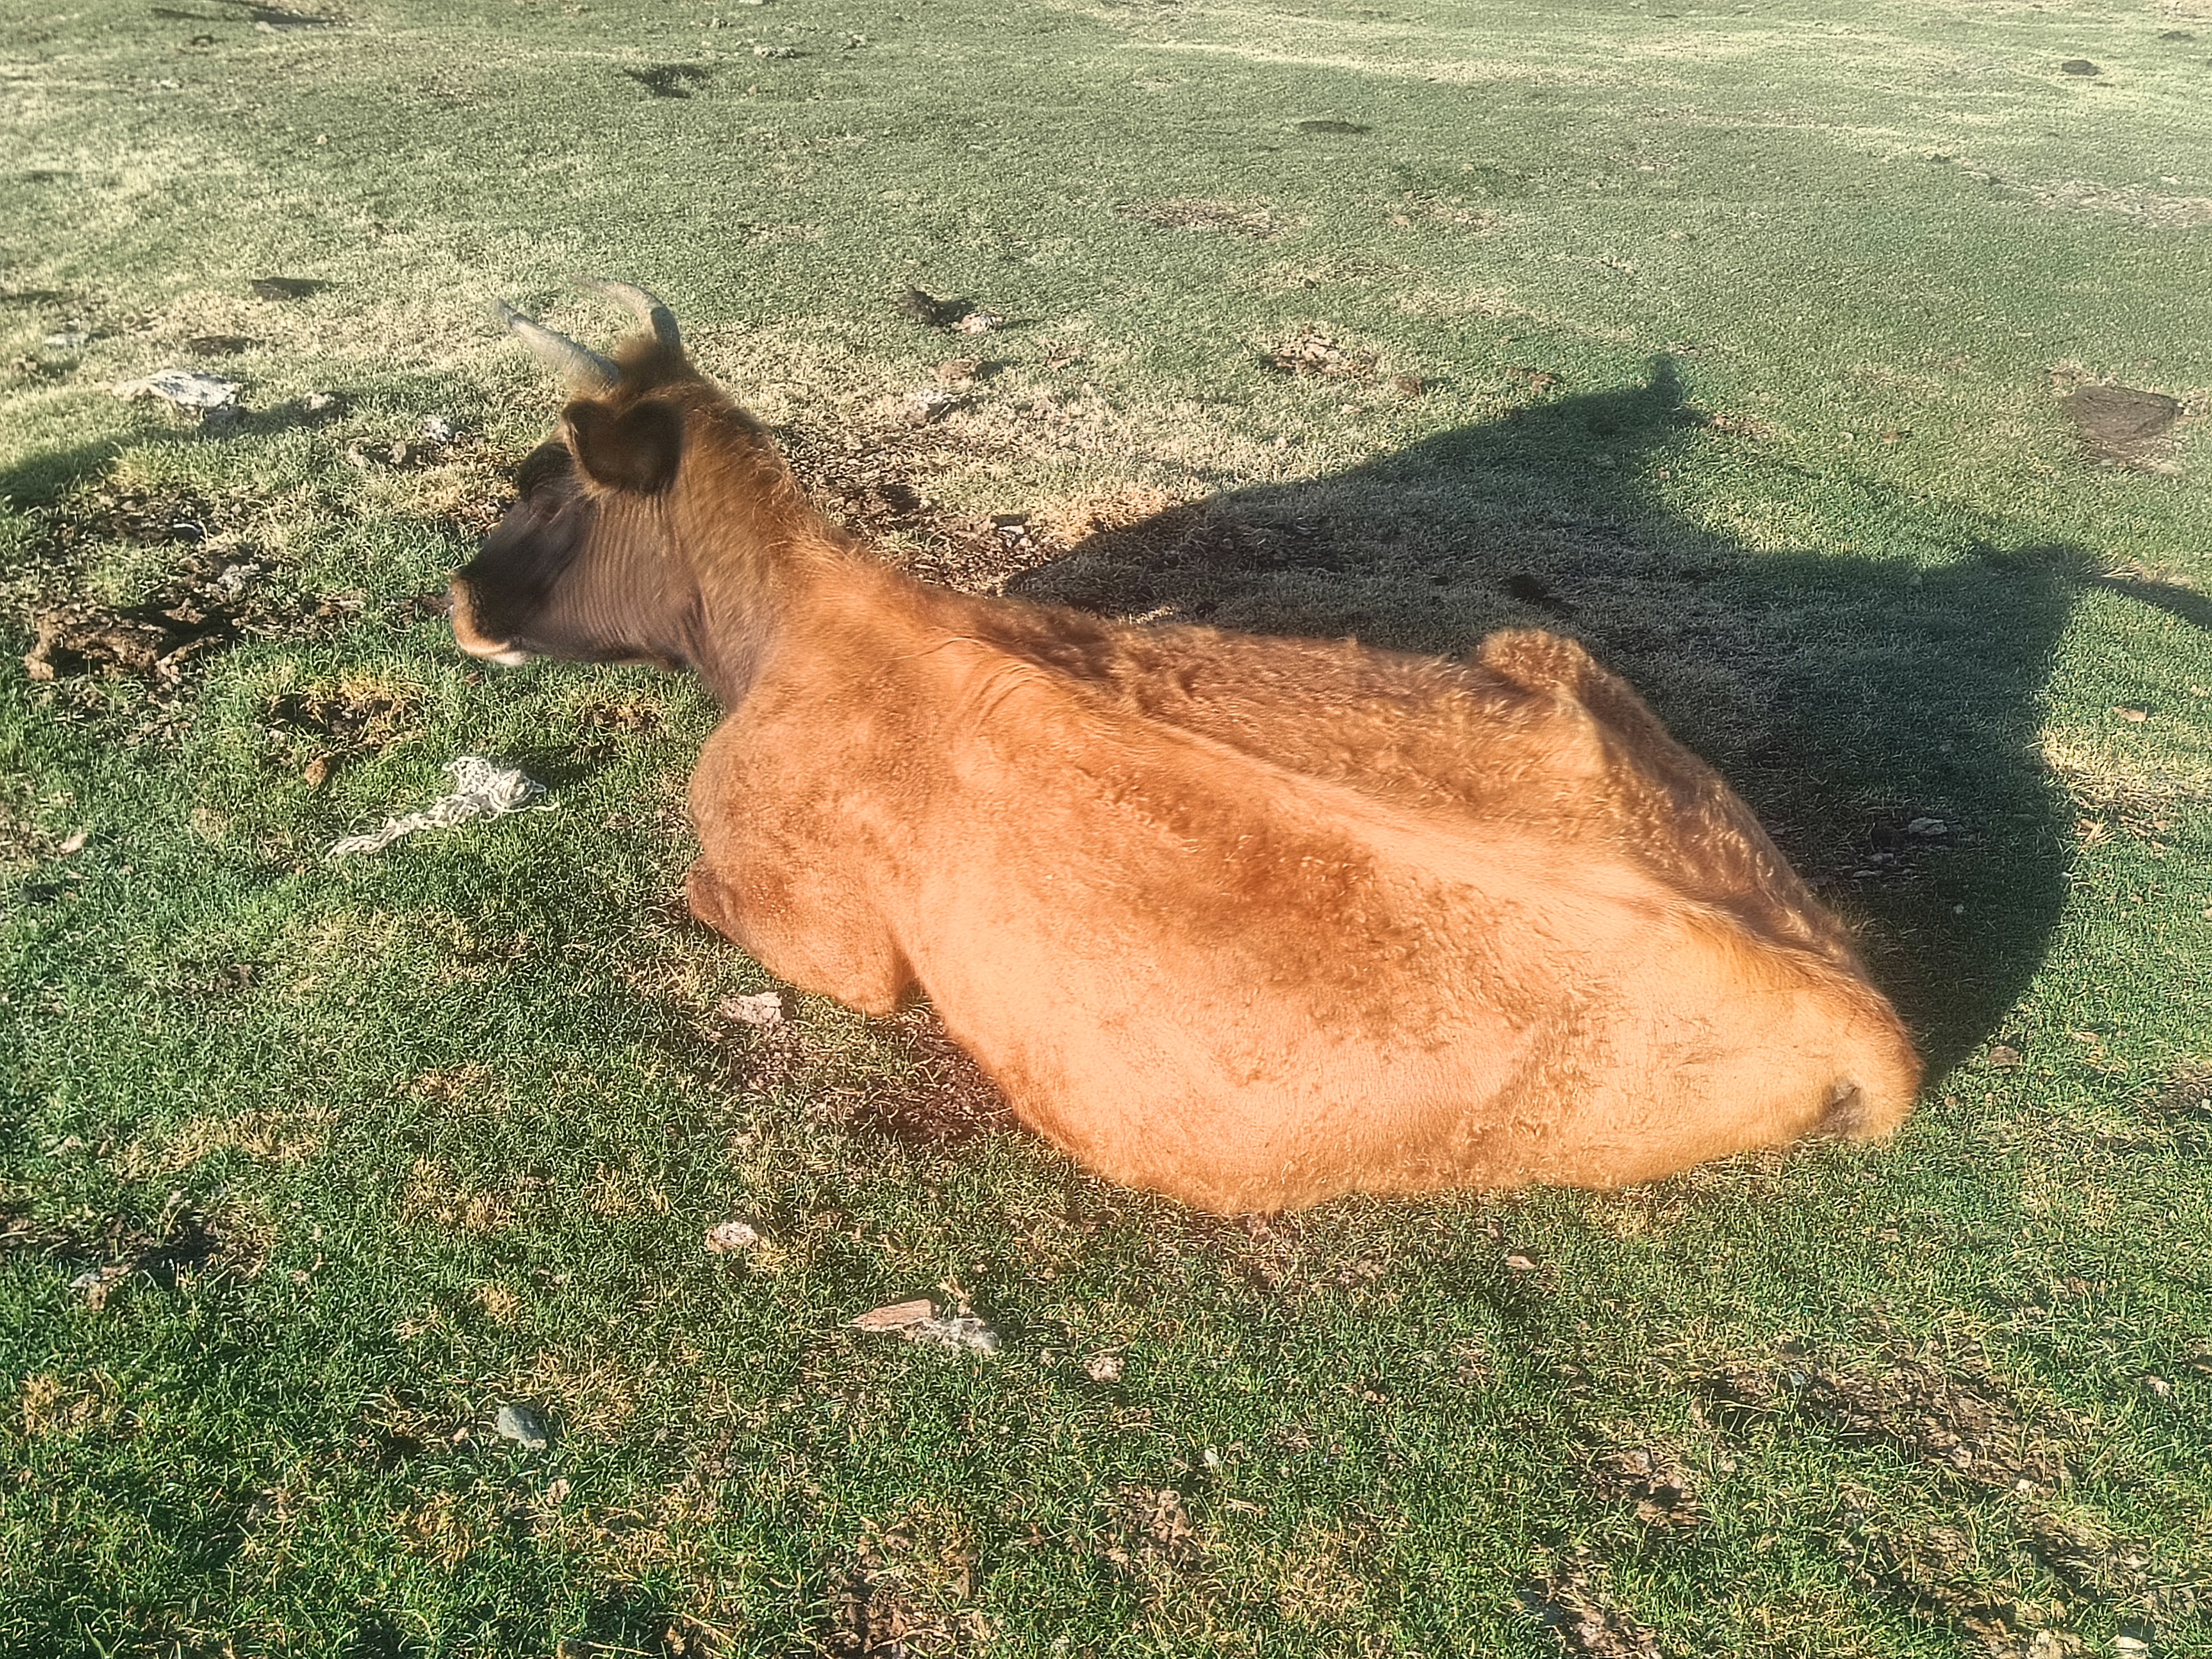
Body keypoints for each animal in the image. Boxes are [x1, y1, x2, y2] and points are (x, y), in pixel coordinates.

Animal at [450, 282, 1922, 1213]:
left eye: (543, 484)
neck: (793, 623)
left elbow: (699, 887)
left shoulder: (827, 935)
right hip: (1551, 657)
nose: (456, 601)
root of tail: (1857, 1007)